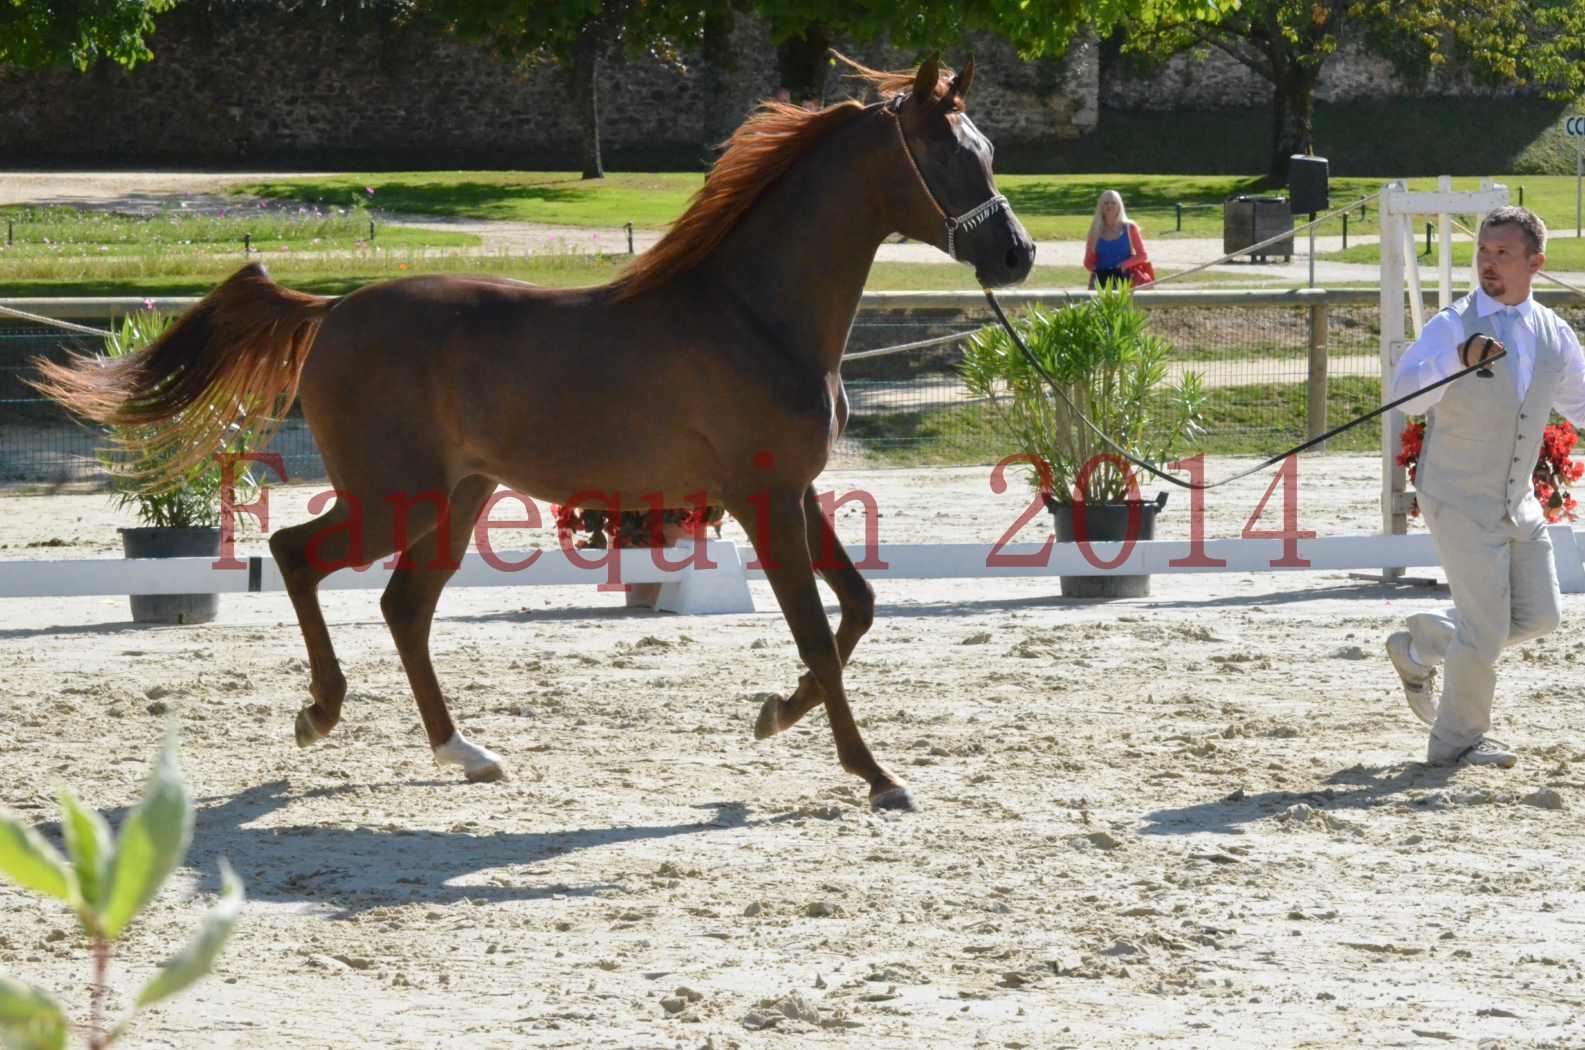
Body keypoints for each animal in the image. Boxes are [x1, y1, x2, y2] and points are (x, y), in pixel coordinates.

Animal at [37, 55, 1039, 812]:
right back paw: (320, 712)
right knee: (295, 553)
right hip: (395, 496)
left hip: (459, 496)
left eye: (987, 147)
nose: (1017, 254)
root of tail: (332, 313)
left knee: (403, 606)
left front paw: (772, 716)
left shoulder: (792, 491)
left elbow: (857, 607)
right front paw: (874, 775)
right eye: (945, 151)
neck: (753, 312)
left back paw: (463, 752)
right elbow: (818, 635)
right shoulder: (764, 499)